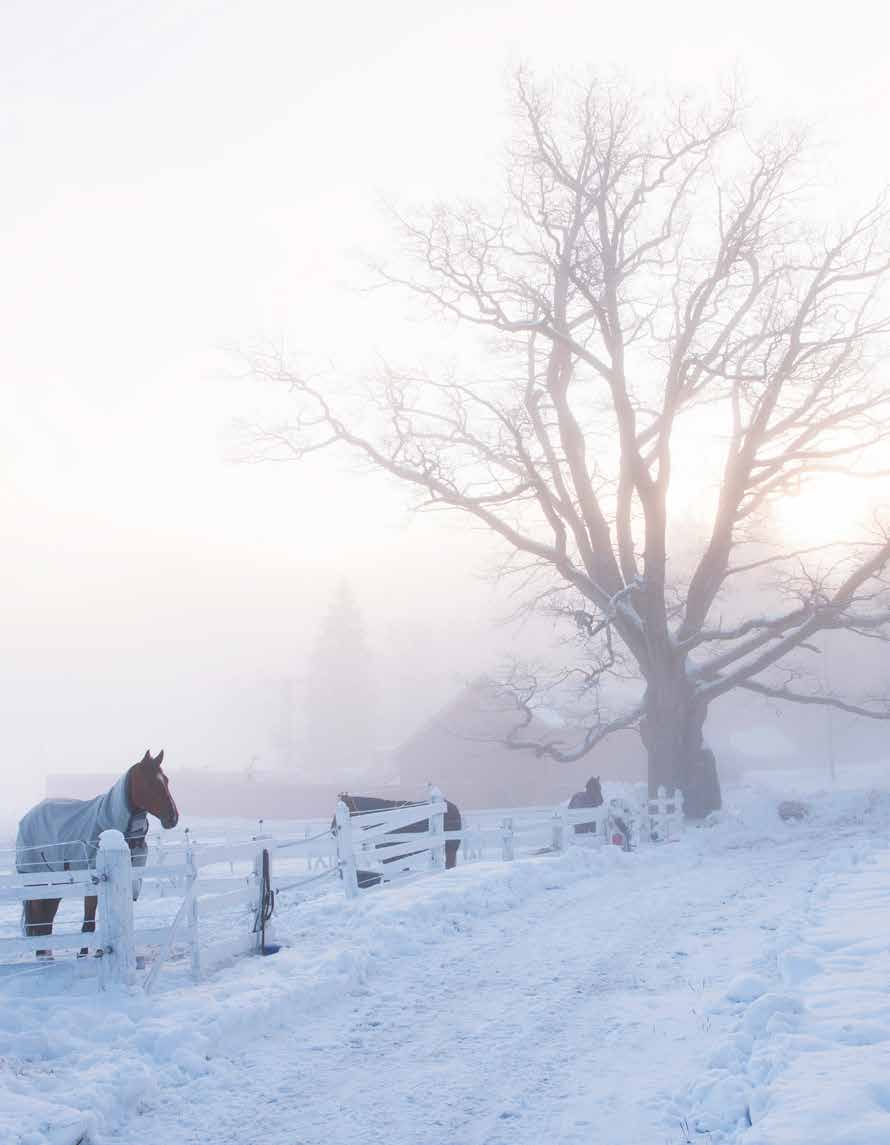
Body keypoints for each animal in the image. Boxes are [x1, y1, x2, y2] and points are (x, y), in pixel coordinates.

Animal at [16, 746, 178, 952]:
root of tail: (27, 817)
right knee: (39, 924)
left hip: (56, 883)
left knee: (45, 924)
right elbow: (88, 926)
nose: (173, 817)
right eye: (149, 782)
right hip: (37, 882)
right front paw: (84, 955)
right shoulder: (93, 885)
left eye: (166, 780)